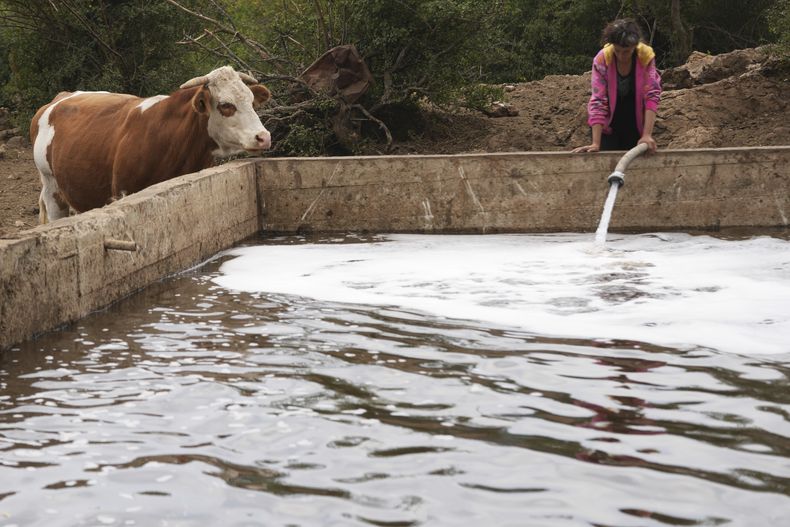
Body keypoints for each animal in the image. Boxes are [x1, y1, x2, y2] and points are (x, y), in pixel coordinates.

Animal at [30, 66, 272, 223]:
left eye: (252, 102)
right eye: (225, 105)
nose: (264, 136)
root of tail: (61, 97)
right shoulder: (124, 193)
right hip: (51, 187)